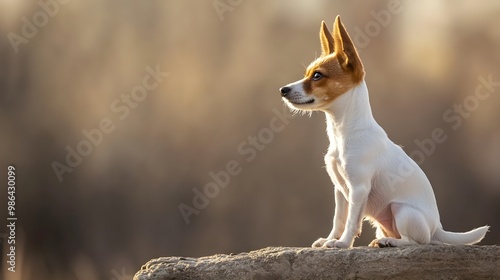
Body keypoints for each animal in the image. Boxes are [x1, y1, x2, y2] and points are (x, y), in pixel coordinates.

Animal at [280, 15, 490, 247]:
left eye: (317, 76)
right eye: (307, 74)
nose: (283, 90)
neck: (345, 131)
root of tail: (437, 229)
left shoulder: (358, 188)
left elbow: (352, 222)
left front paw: (342, 243)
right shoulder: (341, 191)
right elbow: (339, 219)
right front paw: (330, 239)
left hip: (402, 210)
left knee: (416, 241)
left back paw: (392, 242)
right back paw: (381, 241)